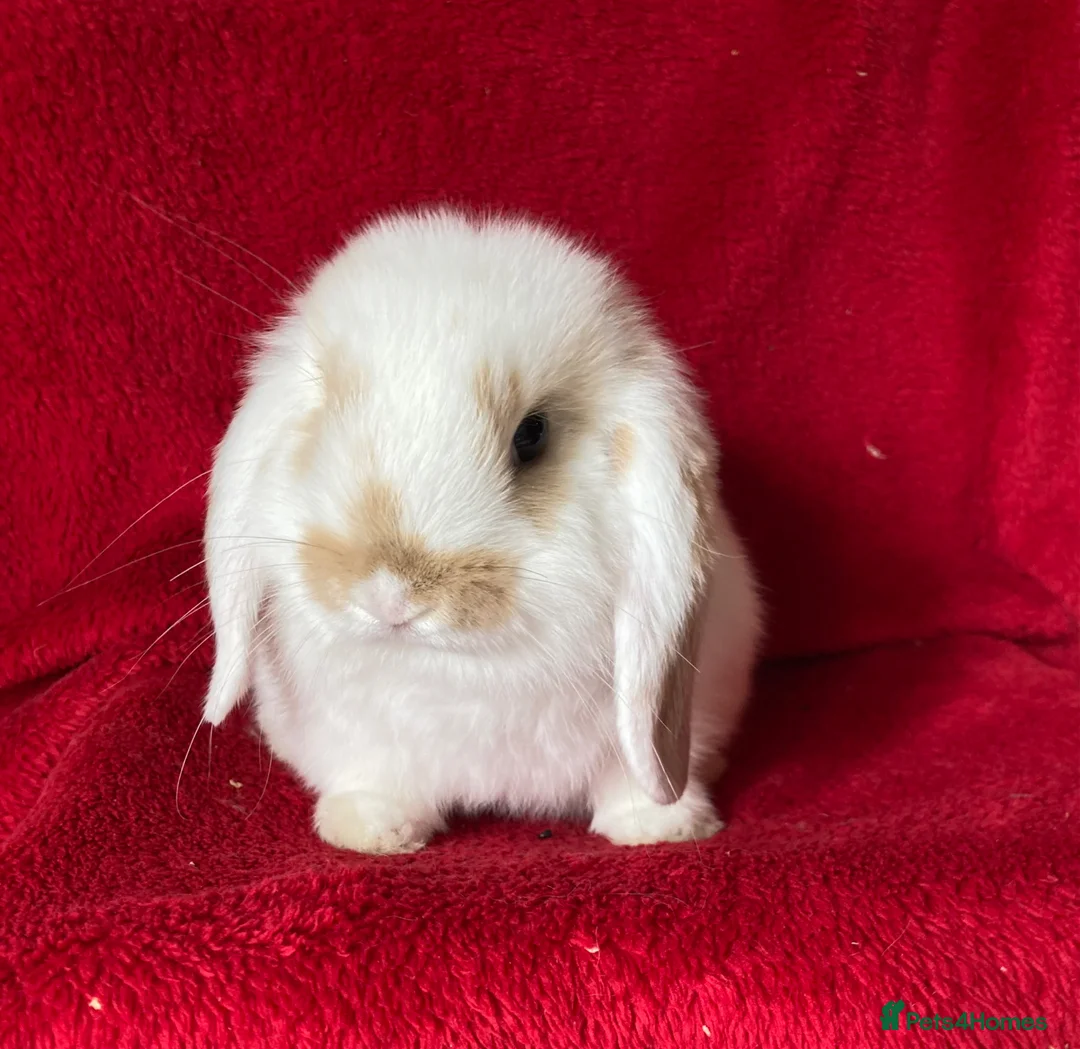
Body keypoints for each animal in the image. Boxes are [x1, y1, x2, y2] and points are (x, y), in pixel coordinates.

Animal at [201, 208, 762, 854]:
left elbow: (635, 774)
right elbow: (376, 774)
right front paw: (371, 832)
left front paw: (660, 827)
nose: (391, 593)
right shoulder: (359, 736)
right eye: (328, 411)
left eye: (532, 434)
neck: (454, 667)